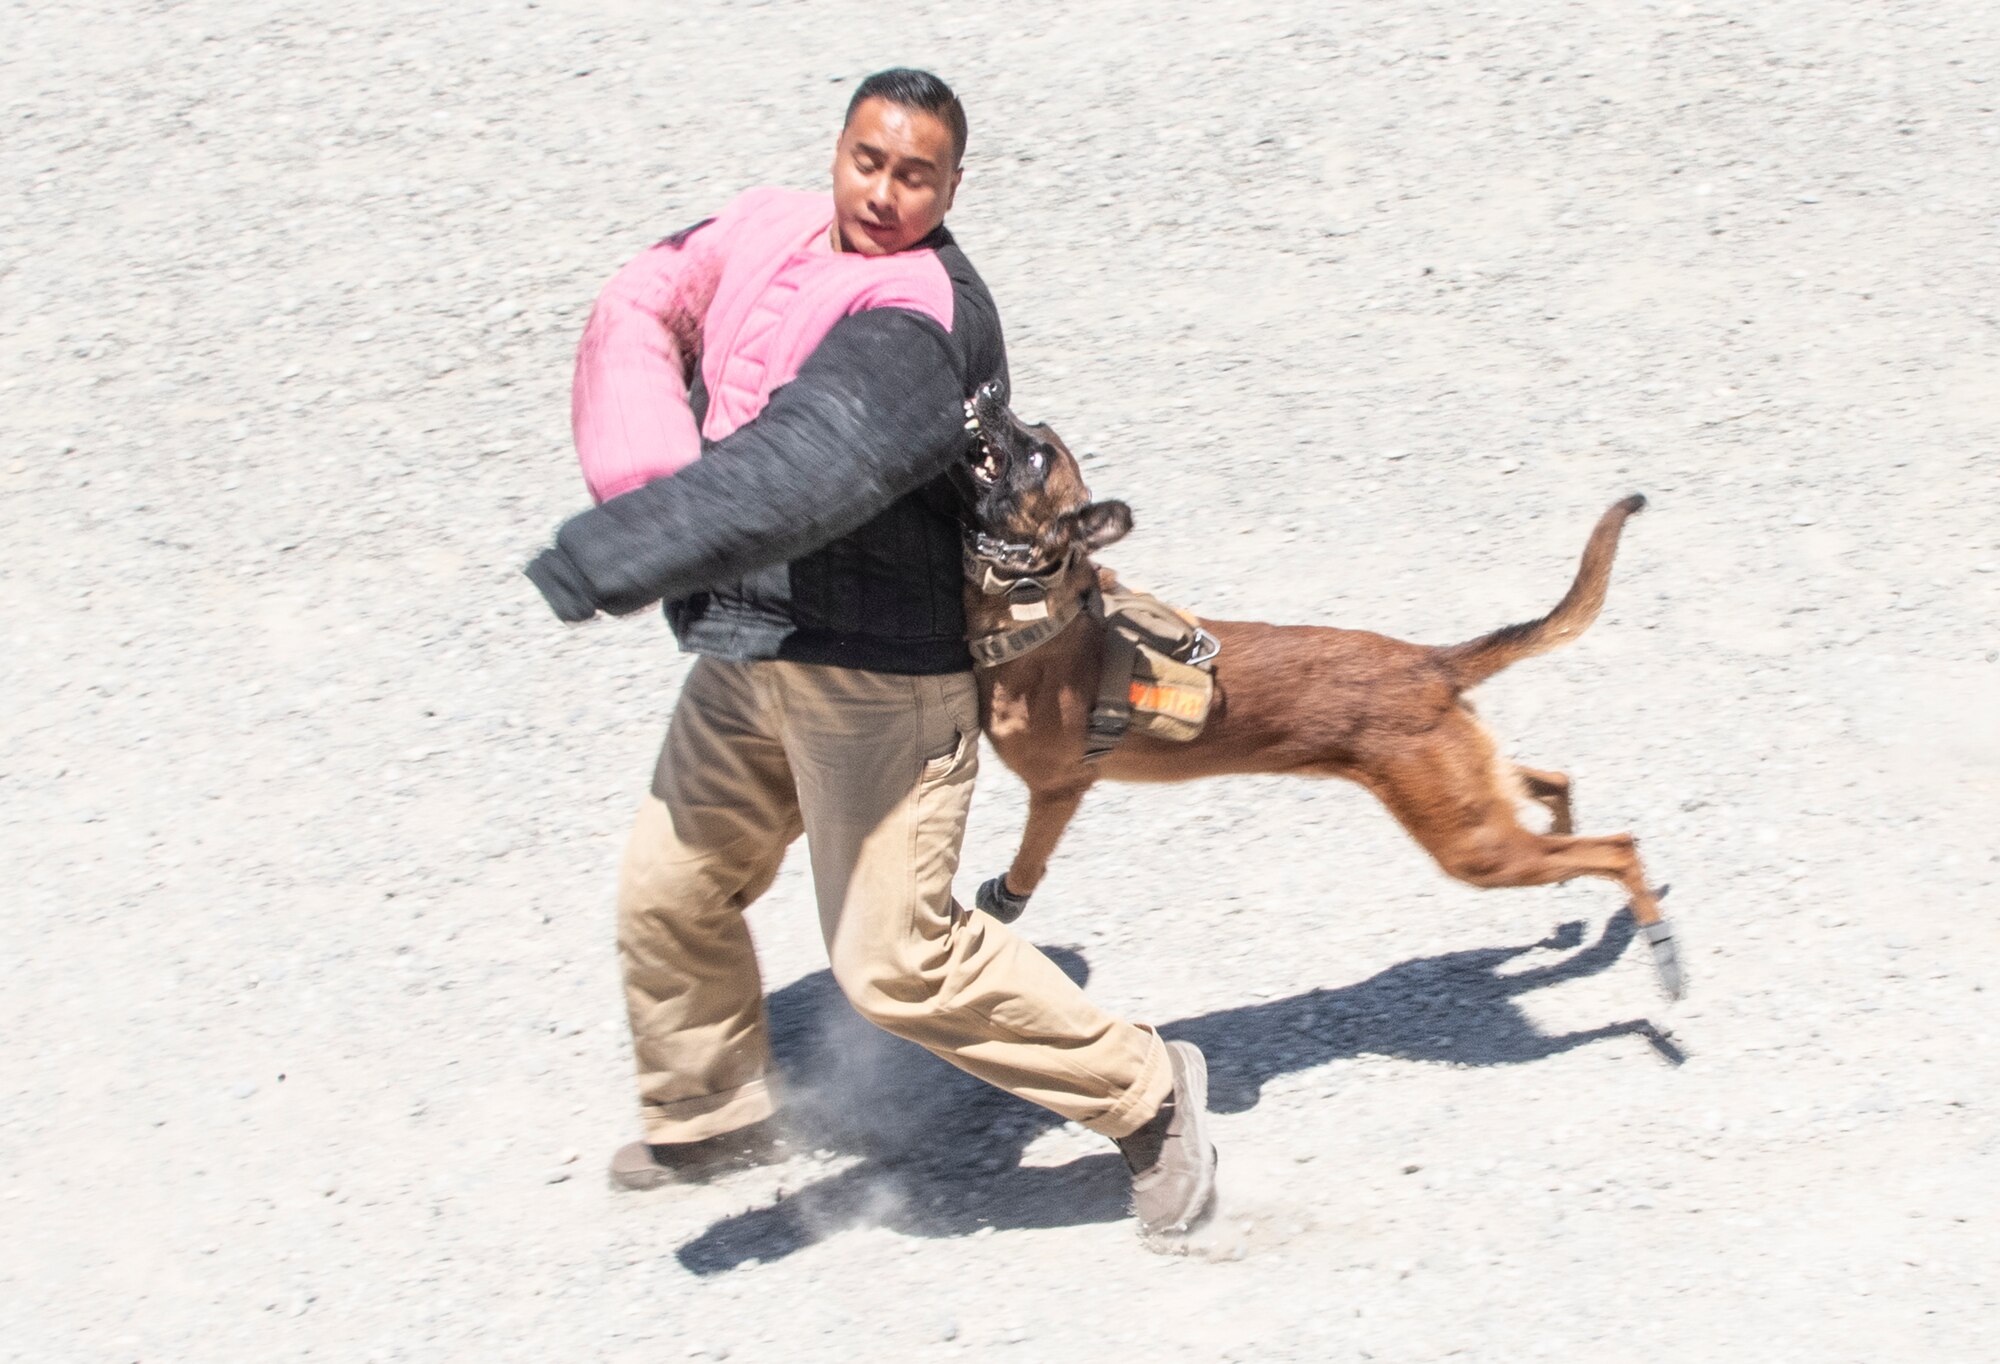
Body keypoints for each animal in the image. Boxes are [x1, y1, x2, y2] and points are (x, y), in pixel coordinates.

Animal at [960, 382, 1680, 1000]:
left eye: (1034, 453)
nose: (988, 390)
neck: (1042, 611)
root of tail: (1430, 663)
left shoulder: (1058, 790)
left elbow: (1024, 866)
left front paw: (1006, 898)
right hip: (1471, 797)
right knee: (1554, 786)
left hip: (1473, 844)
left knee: (1617, 848)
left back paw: (1660, 947)